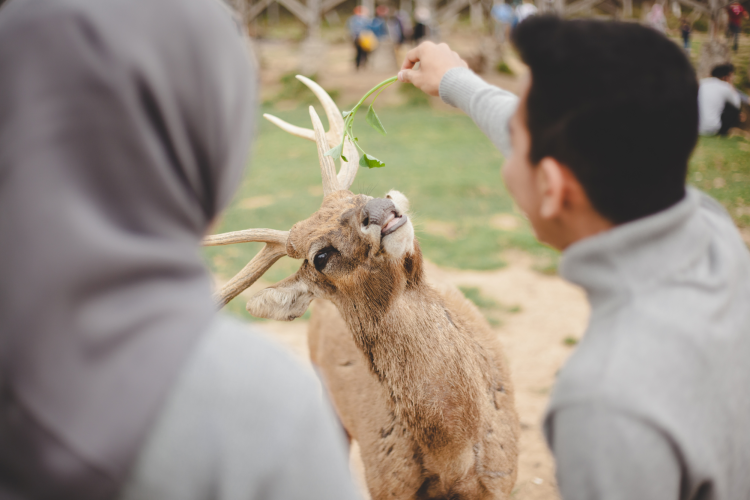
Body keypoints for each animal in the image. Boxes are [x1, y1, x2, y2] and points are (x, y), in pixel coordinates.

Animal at [206, 75, 524, 500]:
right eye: (320, 256)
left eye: (359, 196)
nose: (379, 208)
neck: (453, 463)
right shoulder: (386, 482)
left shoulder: (503, 479)